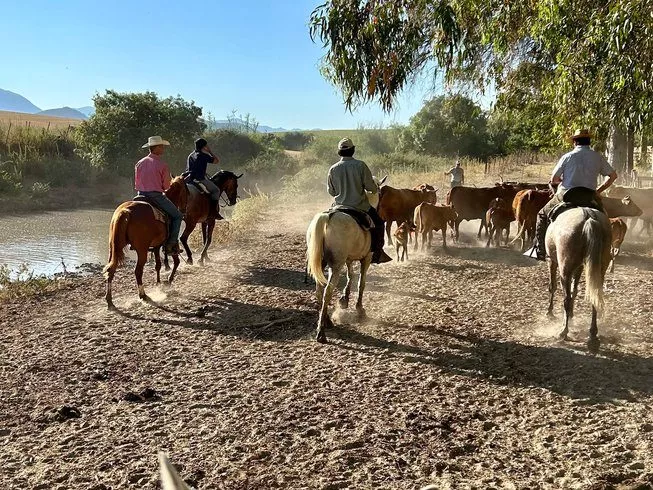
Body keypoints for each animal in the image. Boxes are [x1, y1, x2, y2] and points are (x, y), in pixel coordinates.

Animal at [103, 175, 187, 306]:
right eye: (186, 191)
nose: (184, 210)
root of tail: (125, 211)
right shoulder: (168, 245)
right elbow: (176, 261)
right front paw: (168, 281)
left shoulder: (156, 246)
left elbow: (158, 265)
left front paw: (158, 283)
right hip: (141, 250)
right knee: (138, 271)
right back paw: (143, 294)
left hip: (114, 248)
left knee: (111, 269)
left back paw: (109, 299)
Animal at [544, 207, 612, 352]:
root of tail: (589, 217)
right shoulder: (580, 267)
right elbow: (574, 291)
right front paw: (571, 314)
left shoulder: (551, 261)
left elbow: (553, 287)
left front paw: (550, 312)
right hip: (598, 270)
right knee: (594, 297)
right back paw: (593, 336)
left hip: (565, 270)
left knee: (566, 299)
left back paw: (563, 332)